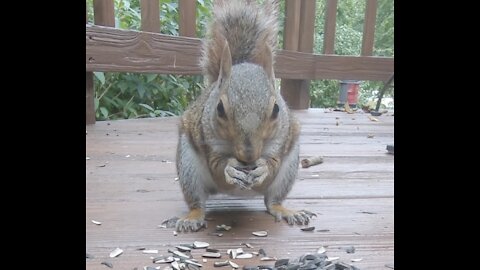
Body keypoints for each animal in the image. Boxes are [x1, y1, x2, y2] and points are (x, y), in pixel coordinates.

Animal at [174, 0, 314, 232]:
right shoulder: (207, 137)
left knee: (272, 201)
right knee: (197, 202)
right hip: (188, 167)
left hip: (289, 168)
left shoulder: (281, 139)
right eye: (220, 109)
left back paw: (285, 210)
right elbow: (216, 165)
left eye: (276, 109)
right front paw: (230, 168)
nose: (248, 156)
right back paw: (192, 217)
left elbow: (273, 163)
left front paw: (263, 167)